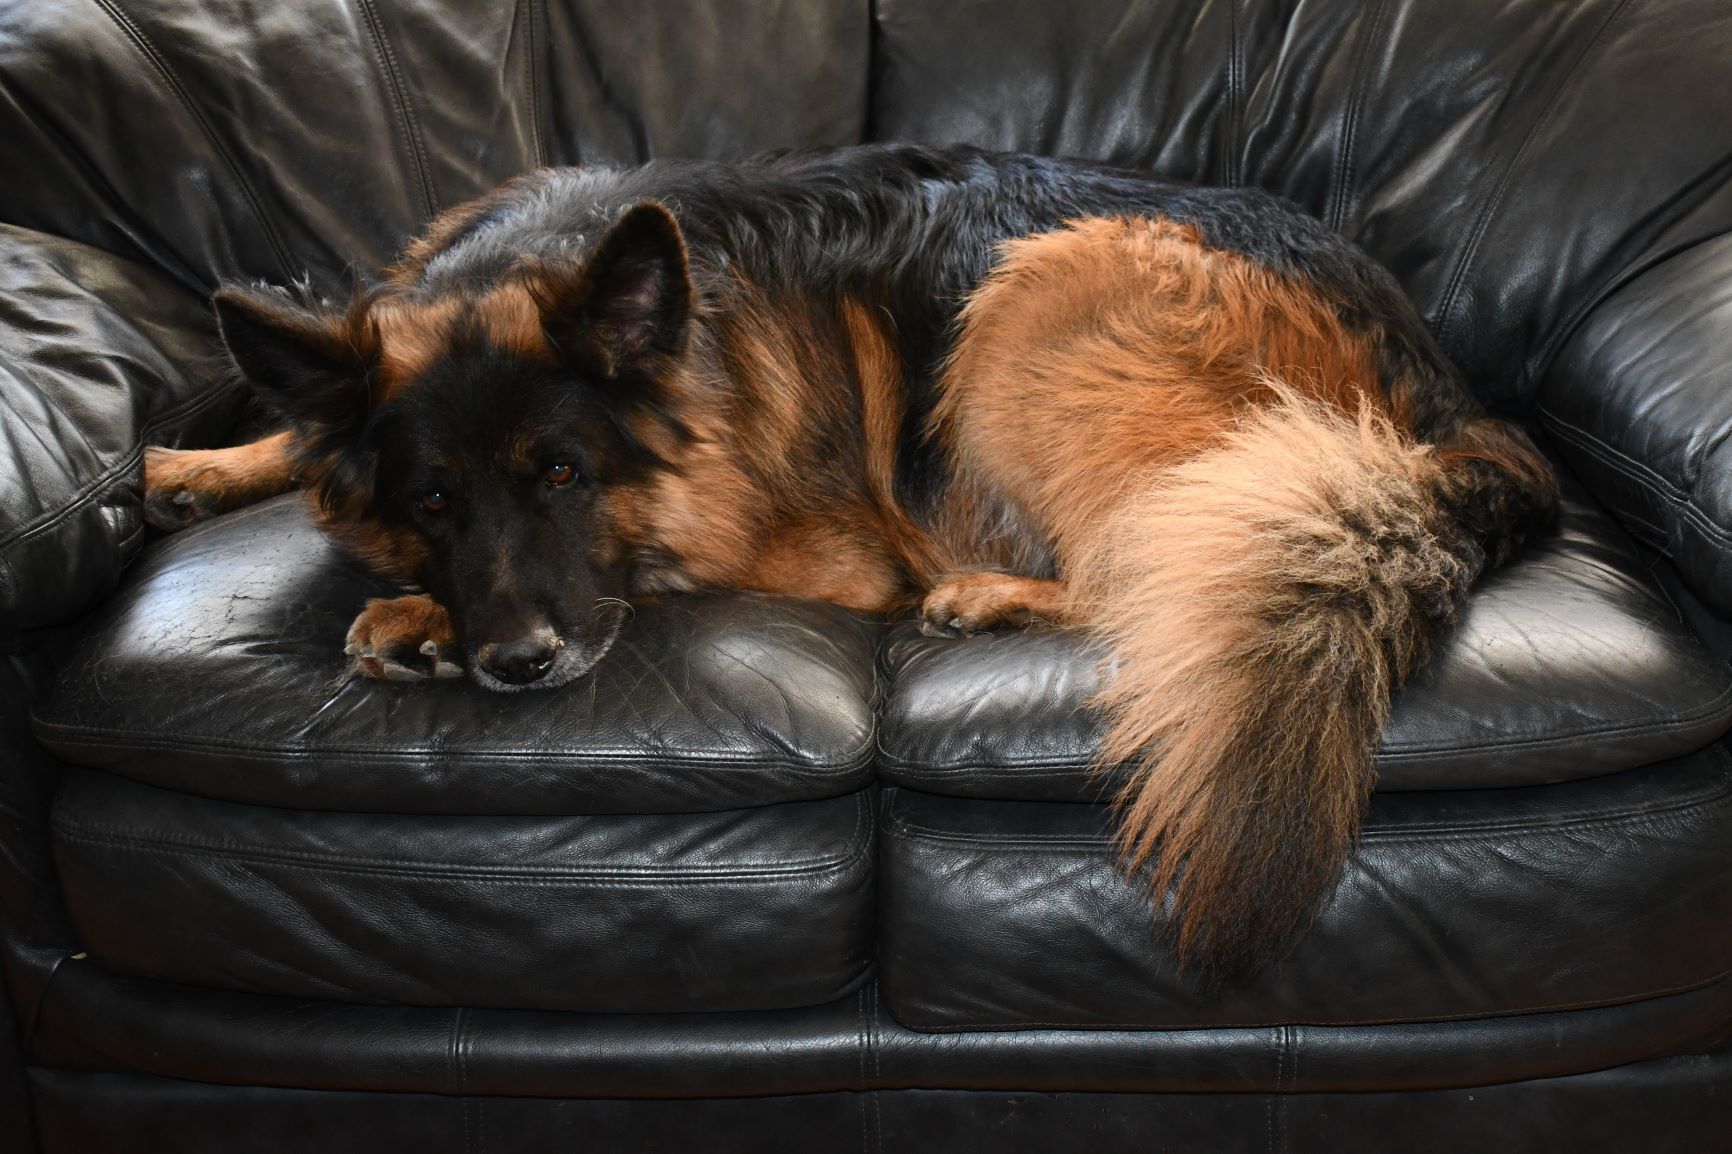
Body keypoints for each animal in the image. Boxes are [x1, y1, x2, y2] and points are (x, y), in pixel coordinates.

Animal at [142, 141, 1565, 970]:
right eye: (432, 500)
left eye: (562, 475)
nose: (516, 659)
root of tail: (1450, 406)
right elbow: (297, 436)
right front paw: (200, 465)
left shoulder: (795, 543)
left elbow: (649, 567)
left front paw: (412, 621)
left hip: (1037, 298)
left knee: (1161, 564)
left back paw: (990, 593)